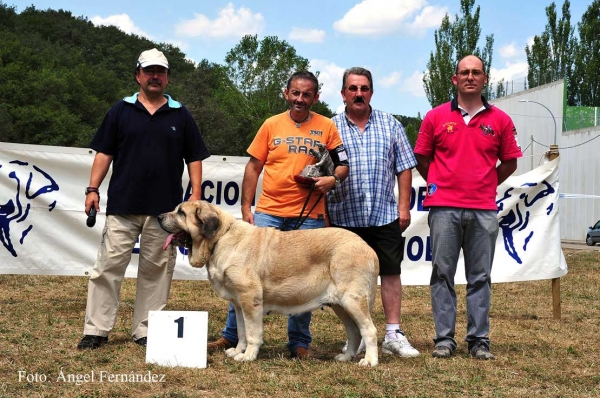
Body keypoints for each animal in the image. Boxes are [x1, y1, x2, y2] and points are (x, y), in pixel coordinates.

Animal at [158, 201, 380, 366]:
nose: (159, 217)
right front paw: (237, 351)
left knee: (369, 330)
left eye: (181, 212)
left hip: (352, 300)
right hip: (340, 305)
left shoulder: (250, 299)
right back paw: (346, 357)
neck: (220, 238)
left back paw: (370, 361)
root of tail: (367, 247)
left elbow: (252, 332)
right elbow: (242, 331)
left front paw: (248, 356)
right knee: (354, 332)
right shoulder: (238, 304)